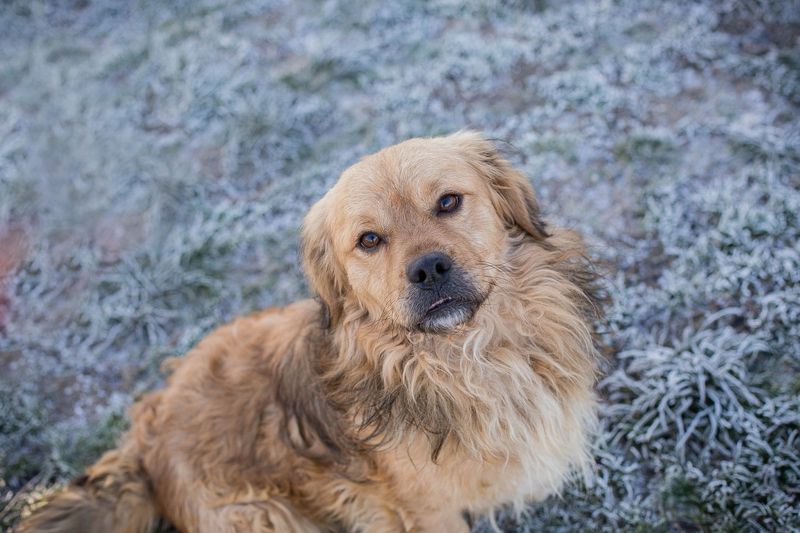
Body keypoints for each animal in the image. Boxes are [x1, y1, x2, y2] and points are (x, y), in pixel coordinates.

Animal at [22, 131, 604, 532]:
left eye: (448, 202)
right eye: (369, 240)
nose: (429, 269)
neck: (467, 355)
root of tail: (143, 442)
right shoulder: (427, 510)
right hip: (263, 518)